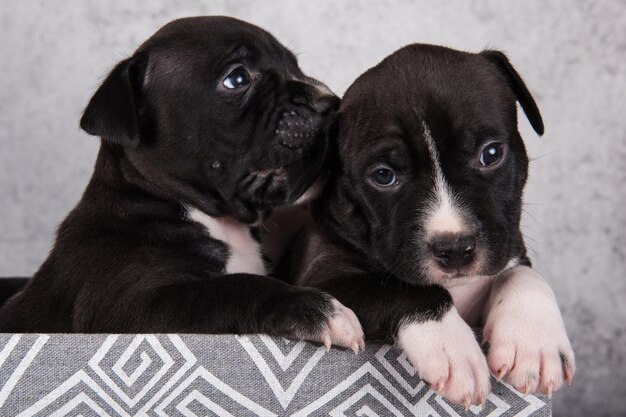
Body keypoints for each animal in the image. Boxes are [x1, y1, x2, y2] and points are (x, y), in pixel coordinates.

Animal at [0, 16, 366, 350]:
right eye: (237, 78)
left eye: (295, 66)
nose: (329, 102)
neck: (220, 221)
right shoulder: (128, 307)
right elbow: (232, 287)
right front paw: (319, 310)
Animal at [286, 44, 572, 404]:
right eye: (383, 175)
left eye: (491, 153)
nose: (455, 248)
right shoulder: (325, 277)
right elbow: (405, 289)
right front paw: (453, 349)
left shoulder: (508, 248)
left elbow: (523, 273)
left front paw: (532, 340)